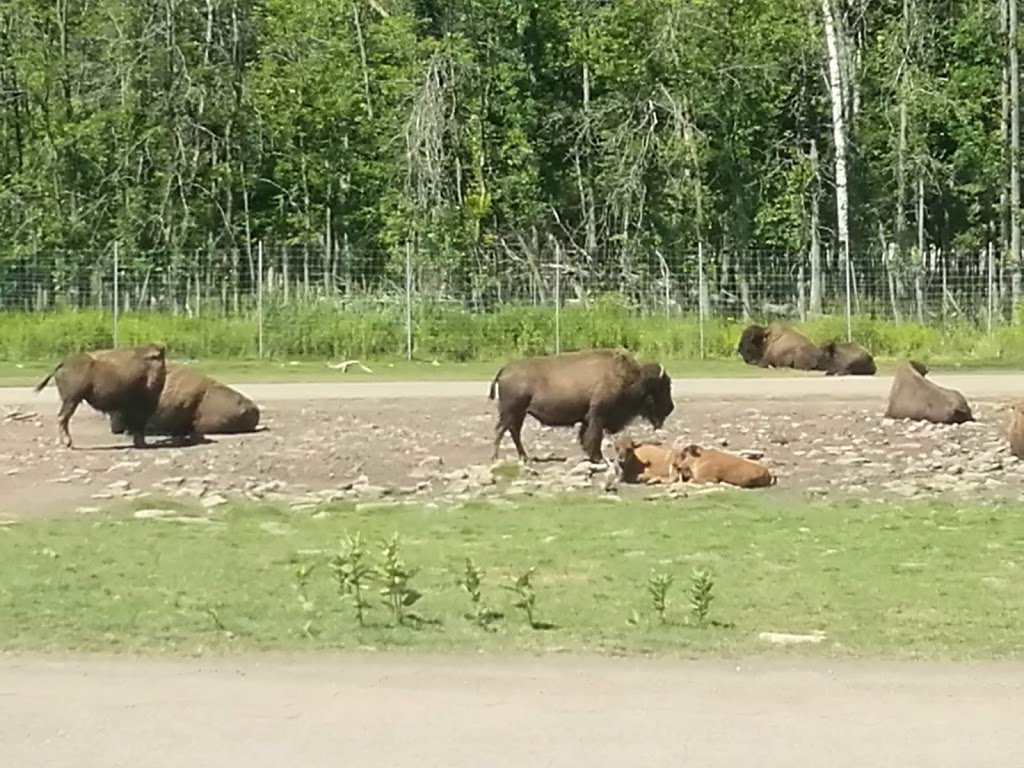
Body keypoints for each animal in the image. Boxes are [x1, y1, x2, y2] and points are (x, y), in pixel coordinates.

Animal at [33, 344, 167, 450]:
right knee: (62, 418)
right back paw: (65, 443)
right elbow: (139, 424)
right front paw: (142, 443)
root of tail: (64, 363)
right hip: (72, 400)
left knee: (63, 418)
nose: (154, 380)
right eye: (155, 359)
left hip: (70, 401)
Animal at [485, 348, 671, 462]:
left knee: (513, 431)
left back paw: (524, 457)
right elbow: (594, 437)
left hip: (518, 413)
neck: (630, 379)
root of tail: (504, 369)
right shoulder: (598, 416)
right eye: (661, 387)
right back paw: (496, 457)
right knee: (501, 430)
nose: (670, 408)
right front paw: (598, 458)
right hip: (511, 411)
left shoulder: (588, 418)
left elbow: (586, 436)